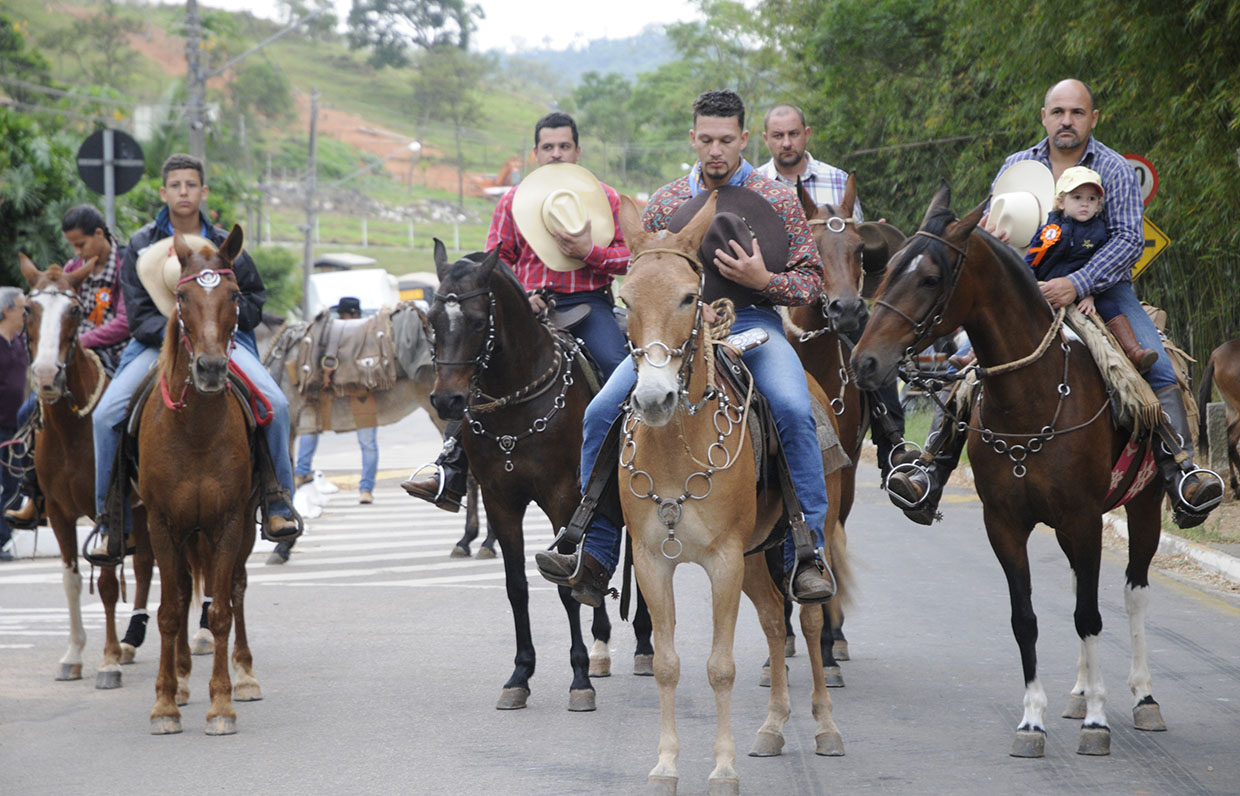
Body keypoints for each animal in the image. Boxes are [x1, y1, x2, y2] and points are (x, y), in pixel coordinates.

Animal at [18, 254, 154, 688]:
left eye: (74, 311)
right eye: (28, 309)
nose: (46, 376)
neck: (71, 430)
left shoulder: (104, 510)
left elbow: (107, 581)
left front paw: (108, 662)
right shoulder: (60, 512)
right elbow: (72, 580)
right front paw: (74, 655)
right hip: (140, 511)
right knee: (145, 564)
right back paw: (132, 640)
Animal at [136, 227, 264, 735]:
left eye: (234, 295)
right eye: (182, 296)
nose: (210, 369)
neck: (194, 432)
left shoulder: (228, 522)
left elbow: (223, 610)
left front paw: (222, 703)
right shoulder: (160, 525)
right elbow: (170, 612)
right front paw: (164, 704)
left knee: (235, 589)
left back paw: (244, 675)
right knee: (184, 592)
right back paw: (182, 680)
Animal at [427, 239, 652, 711]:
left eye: (478, 321)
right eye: (434, 320)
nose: (447, 400)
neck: (518, 399)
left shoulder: (562, 498)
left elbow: (565, 589)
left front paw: (579, 680)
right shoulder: (501, 501)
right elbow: (517, 587)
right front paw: (520, 675)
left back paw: (643, 645)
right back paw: (603, 645)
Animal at [615, 192, 846, 793]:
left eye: (688, 296)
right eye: (624, 300)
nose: (653, 398)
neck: (679, 447)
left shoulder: (721, 561)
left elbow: (720, 667)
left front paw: (722, 768)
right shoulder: (653, 561)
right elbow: (668, 663)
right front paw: (666, 765)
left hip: (803, 537)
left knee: (809, 621)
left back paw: (824, 727)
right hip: (756, 556)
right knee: (772, 620)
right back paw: (773, 727)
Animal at [851, 182, 1168, 758]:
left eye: (929, 278)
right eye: (887, 273)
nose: (865, 362)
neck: (1034, 398)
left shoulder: (1084, 517)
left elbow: (1090, 615)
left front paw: (1097, 721)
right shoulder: (1005, 523)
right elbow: (1026, 619)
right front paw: (1033, 721)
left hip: (1144, 505)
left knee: (1134, 593)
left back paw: (1142, 697)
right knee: (1079, 584)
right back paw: (1077, 693)